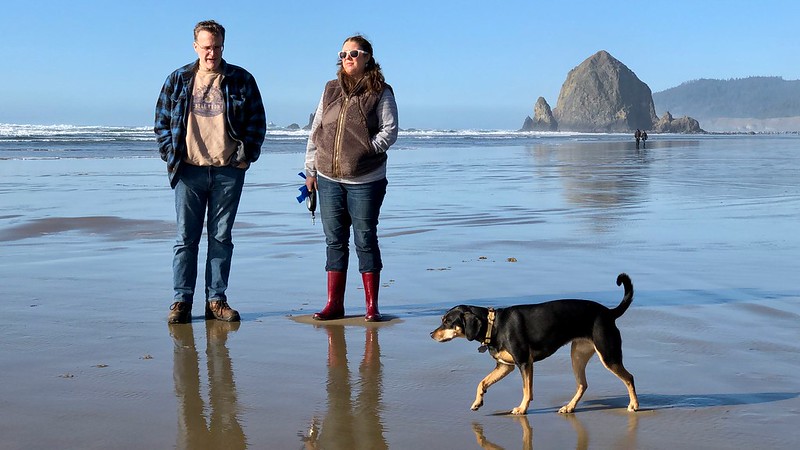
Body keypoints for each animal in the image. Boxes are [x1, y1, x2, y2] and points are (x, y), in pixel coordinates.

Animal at [428, 270, 640, 414]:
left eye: (447, 321)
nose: (431, 334)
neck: (494, 325)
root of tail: (609, 313)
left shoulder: (524, 363)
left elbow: (527, 390)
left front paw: (522, 409)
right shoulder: (505, 366)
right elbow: (482, 382)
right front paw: (477, 402)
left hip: (608, 355)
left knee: (629, 377)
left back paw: (634, 405)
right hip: (577, 355)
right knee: (582, 384)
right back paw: (569, 407)